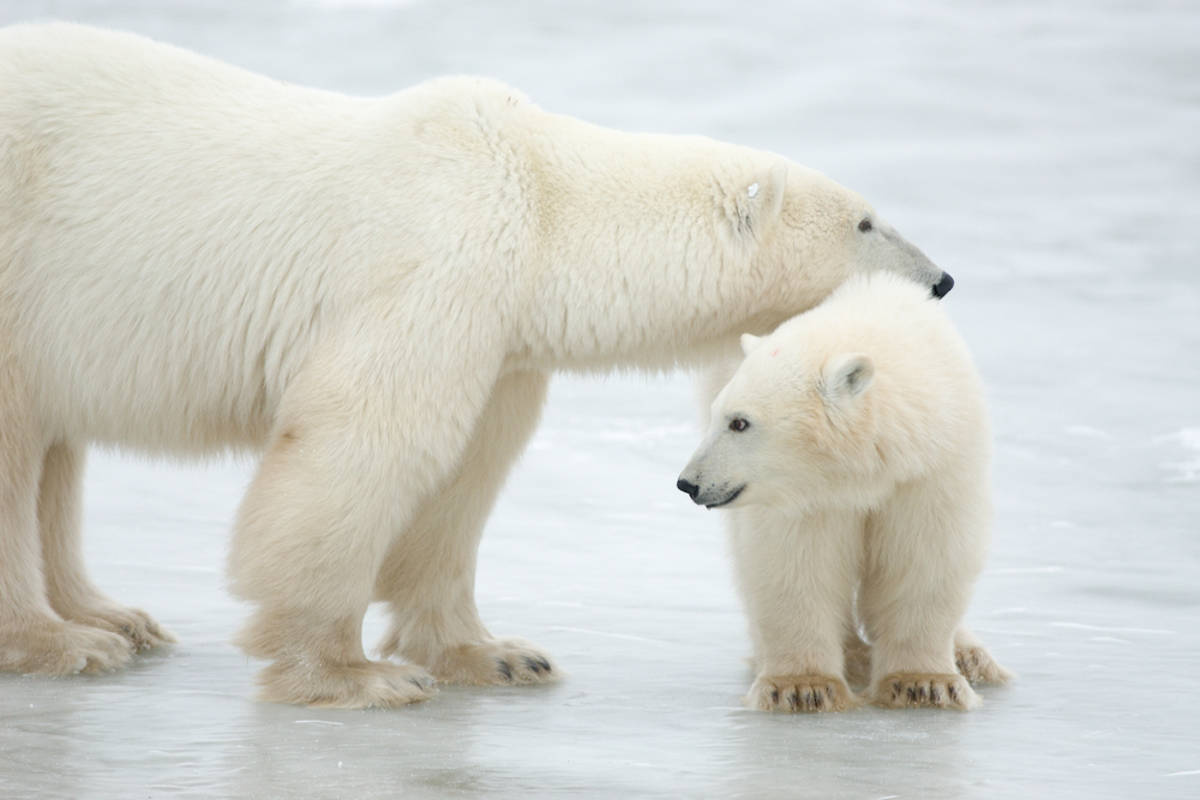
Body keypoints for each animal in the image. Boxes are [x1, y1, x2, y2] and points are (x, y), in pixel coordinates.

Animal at [0, 22, 950, 708]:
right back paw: (61, 641)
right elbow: (367, 445)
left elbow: (466, 472)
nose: (941, 279)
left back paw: (113, 617)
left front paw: (495, 655)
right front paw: (349, 672)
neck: (540, 202)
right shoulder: (433, 264)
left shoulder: (500, 336)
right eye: (866, 221)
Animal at [677, 272, 1010, 711]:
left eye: (740, 422)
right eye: (722, 416)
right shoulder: (805, 497)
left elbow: (925, 558)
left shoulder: (933, 469)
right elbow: (796, 566)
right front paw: (802, 687)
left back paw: (971, 656)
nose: (689, 482)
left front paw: (924, 683)